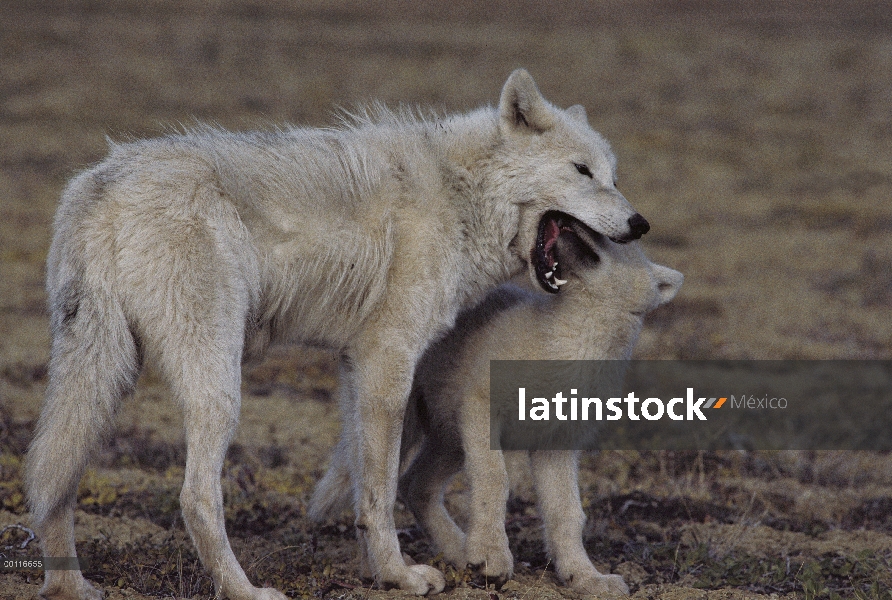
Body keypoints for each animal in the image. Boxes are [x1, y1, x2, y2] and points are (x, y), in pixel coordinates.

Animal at [310, 225, 680, 596]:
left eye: (618, 241)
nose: (568, 224)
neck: (572, 346)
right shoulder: (482, 409)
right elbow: (495, 480)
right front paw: (491, 556)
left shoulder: (555, 446)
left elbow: (567, 514)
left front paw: (585, 577)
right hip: (408, 427)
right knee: (373, 493)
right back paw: (382, 572)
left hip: (450, 441)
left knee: (415, 486)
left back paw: (456, 552)